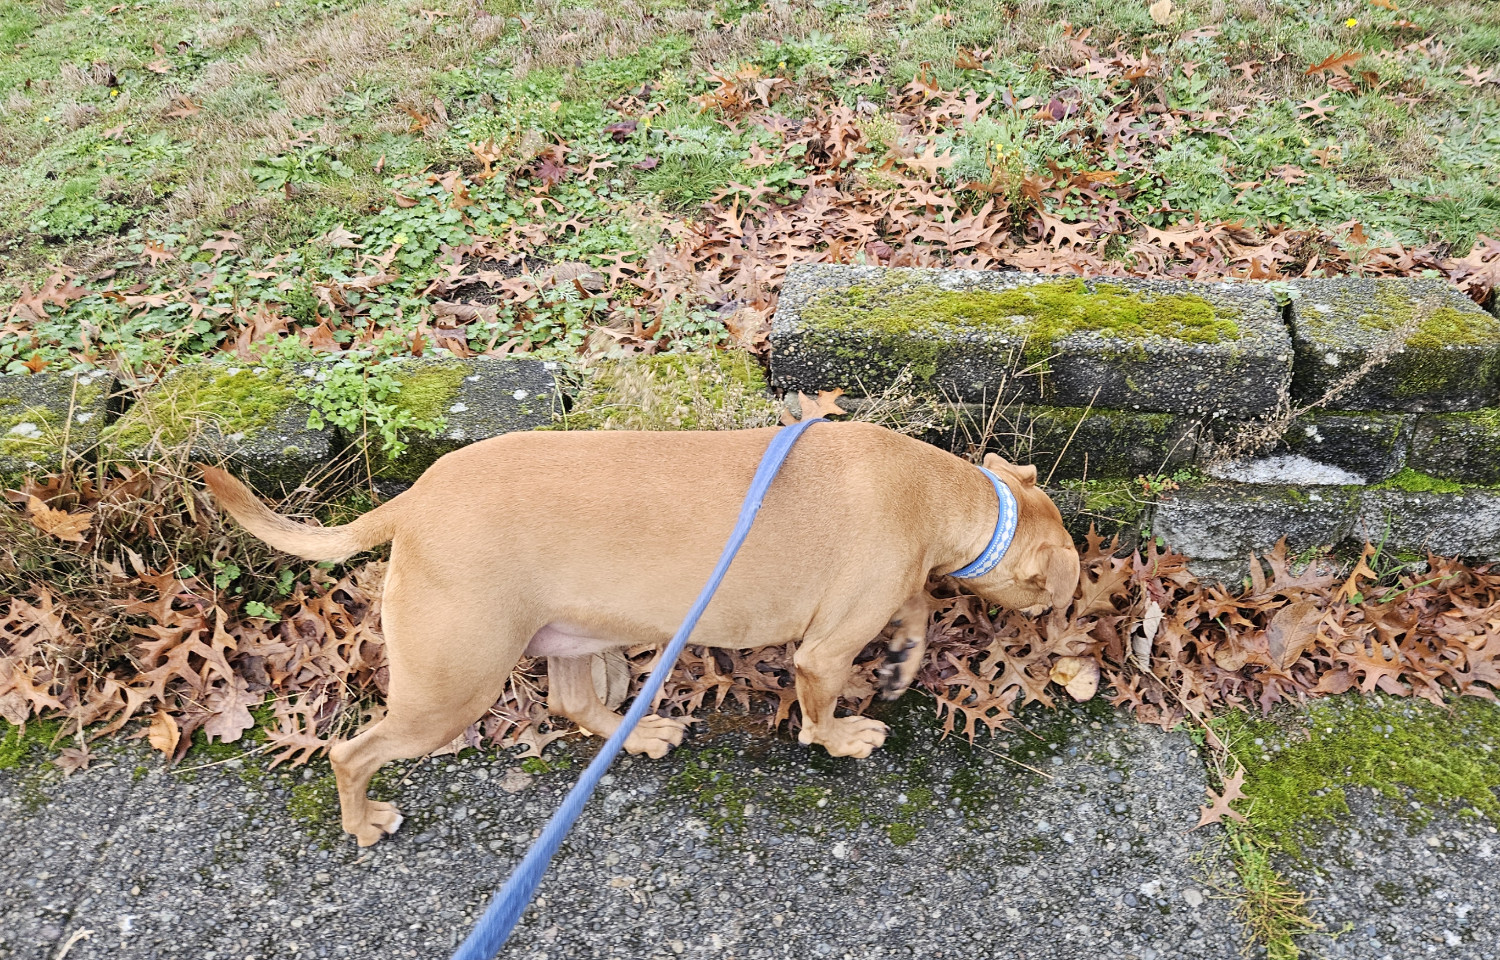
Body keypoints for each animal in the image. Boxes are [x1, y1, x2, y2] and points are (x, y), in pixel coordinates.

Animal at [202, 423, 1080, 846]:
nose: (1068, 631)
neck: (943, 492)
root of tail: (413, 498)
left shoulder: (887, 593)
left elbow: (919, 611)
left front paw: (901, 663)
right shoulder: (824, 650)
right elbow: (822, 713)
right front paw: (844, 735)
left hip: (577, 638)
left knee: (572, 706)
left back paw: (644, 730)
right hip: (452, 687)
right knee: (350, 754)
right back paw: (362, 822)